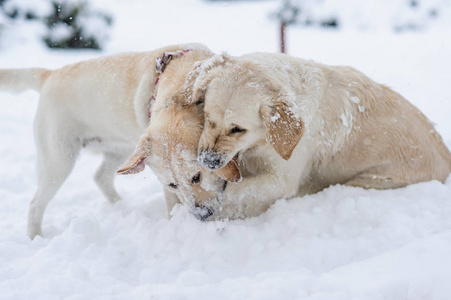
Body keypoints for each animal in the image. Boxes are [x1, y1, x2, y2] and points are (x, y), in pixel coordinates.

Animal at [0, 42, 212, 239]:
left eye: (197, 177)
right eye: (172, 184)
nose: (202, 215)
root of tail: (51, 74)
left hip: (121, 151)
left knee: (100, 177)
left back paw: (123, 206)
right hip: (59, 161)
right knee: (35, 204)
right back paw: (35, 237)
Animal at [182, 52, 451, 218]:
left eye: (238, 129)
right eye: (208, 118)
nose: (207, 160)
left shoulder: (283, 178)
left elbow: (238, 191)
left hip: (371, 181)